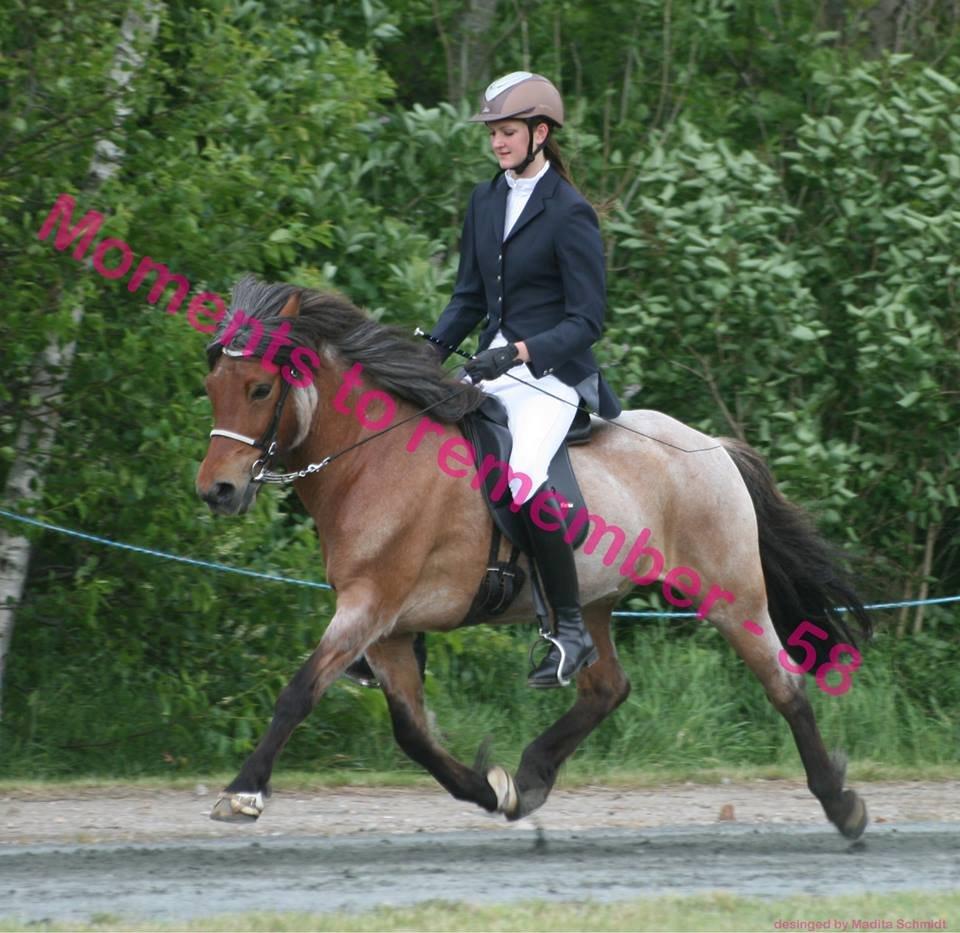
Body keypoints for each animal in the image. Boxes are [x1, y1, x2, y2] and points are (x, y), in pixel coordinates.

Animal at [199, 274, 872, 836]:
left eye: (260, 388)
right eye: (212, 389)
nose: (217, 491)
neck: (374, 458)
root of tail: (711, 446)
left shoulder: (370, 607)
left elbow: (301, 692)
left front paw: (243, 791)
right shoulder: (388, 628)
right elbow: (412, 732)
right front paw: (490, 789)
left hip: (731, 595)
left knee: (784, 683)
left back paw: (841, 805)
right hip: (593, 600)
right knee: (605, 687)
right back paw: (530, 776)